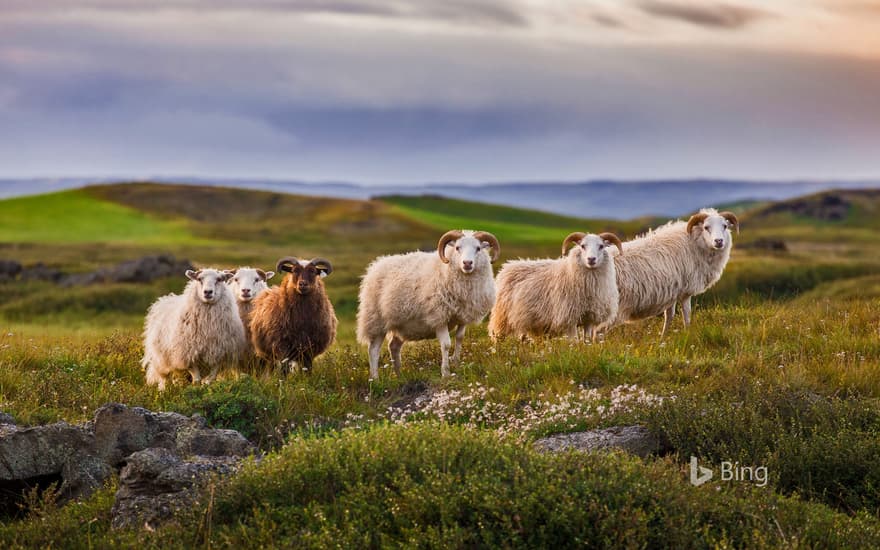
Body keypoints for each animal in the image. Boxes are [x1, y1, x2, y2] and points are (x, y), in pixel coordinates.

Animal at [354, 229, 498, 380]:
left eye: (478, 248)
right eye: (458, 248)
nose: (467, 263)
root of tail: (375, 266)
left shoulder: (462, 316)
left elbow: (459, 339)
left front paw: (457, 364)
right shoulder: (439, 316)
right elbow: (446, 344)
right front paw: (446, 372)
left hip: (402, 325)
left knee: (393, 346)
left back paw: (399, 375)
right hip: (376, 320)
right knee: (373, 350)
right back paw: (375, 378)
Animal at [488, 231, 624, 342]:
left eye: (601, 246)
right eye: (582, 246)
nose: (591, 259)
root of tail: (507, 267)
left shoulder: (589, 319)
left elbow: (587, 341)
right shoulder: (569, 319)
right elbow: (574, 341)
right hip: (502, 317)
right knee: (498, 337)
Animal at [608, 208, 740, 336]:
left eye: (725, 226)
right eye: (706, 227)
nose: (719, 241)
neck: (694, 242)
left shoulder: (671, 292)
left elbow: (669, 317)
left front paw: (663, 337)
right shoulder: (685, 292)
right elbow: (687, 316)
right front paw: (688, 334)